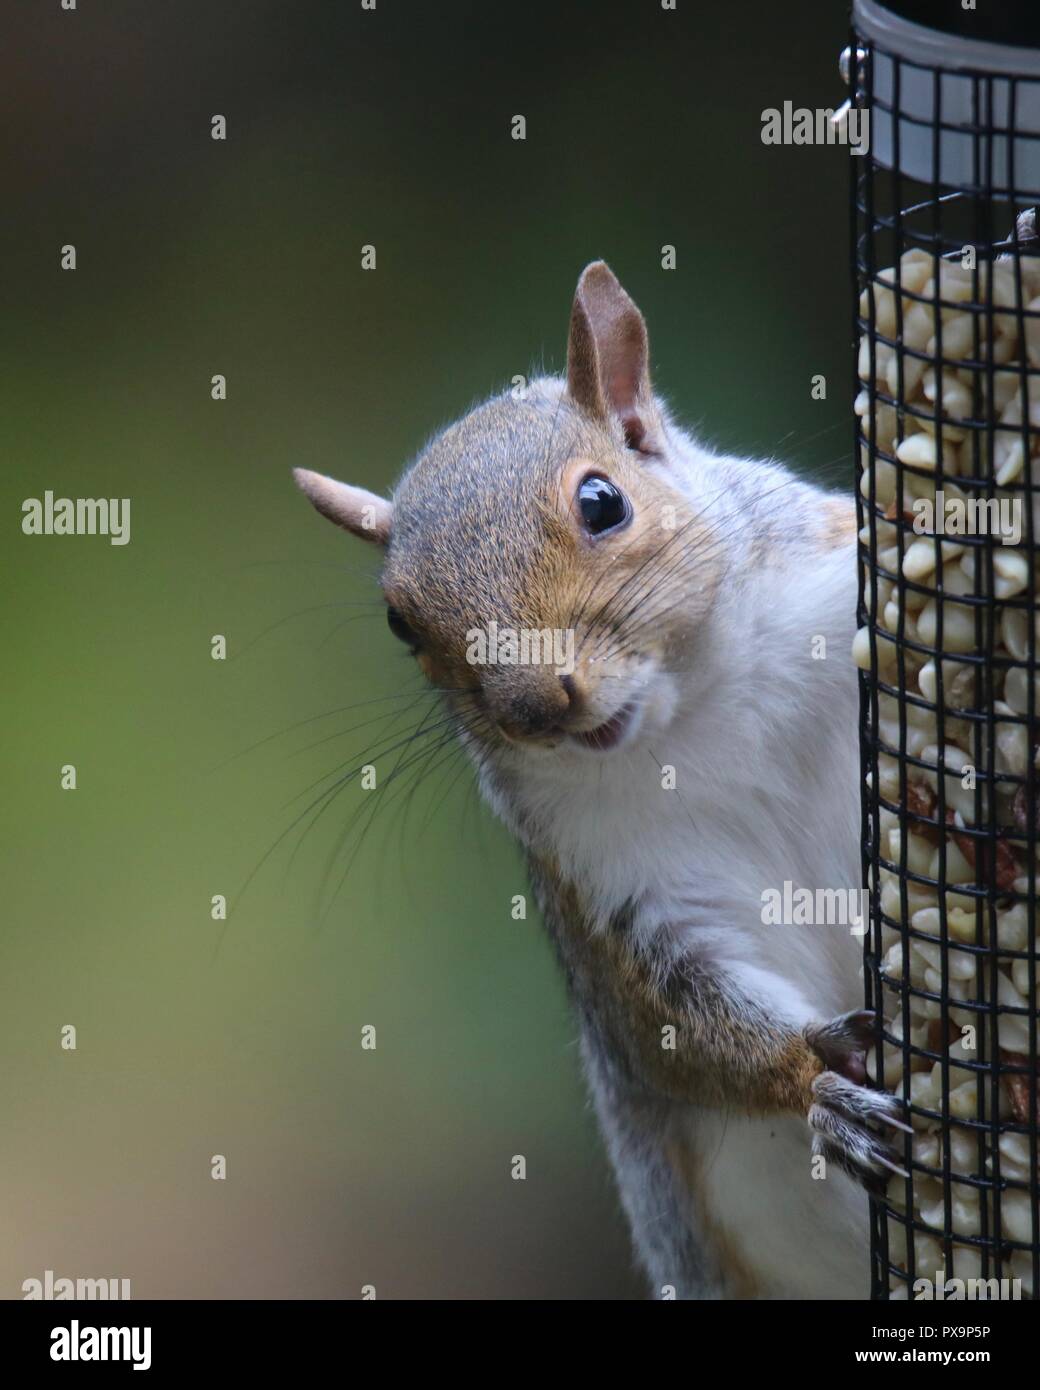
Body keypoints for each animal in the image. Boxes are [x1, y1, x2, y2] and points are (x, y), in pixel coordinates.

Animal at [293, 262, 910, 1299]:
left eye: (601, 502)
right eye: (399, 623)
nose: (534, 705)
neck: (698, 713)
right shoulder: (611, 883)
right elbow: (670, 1020)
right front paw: (818, 1082)